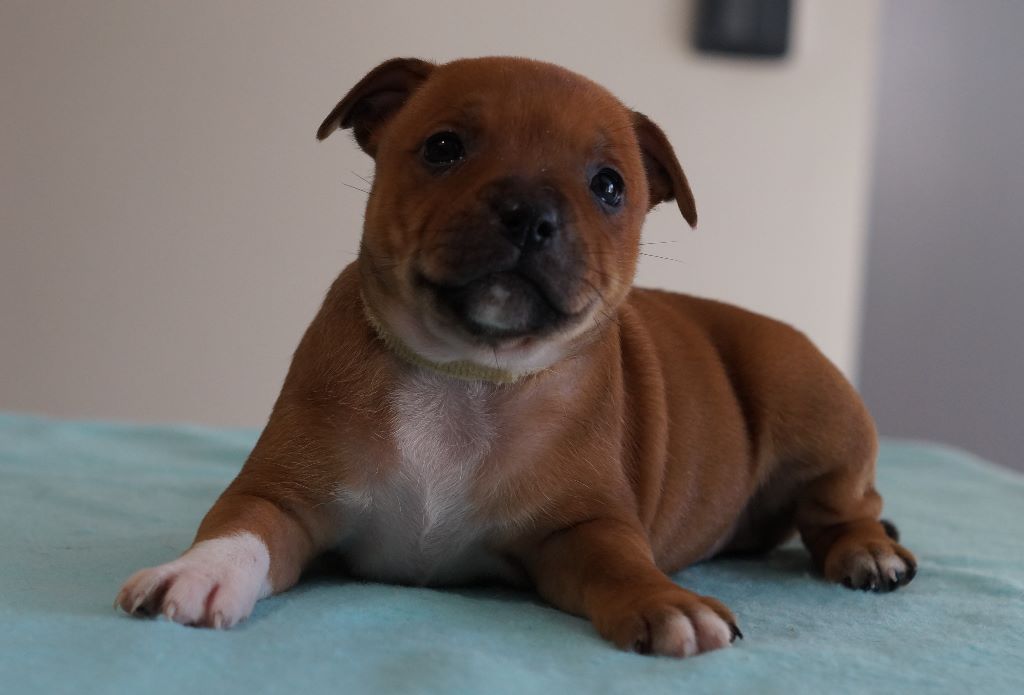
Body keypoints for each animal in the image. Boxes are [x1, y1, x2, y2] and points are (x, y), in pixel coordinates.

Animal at [116, 56, 916, 657]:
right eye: (443, 147)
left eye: (609, 185)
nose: (531, 212)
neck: (466, 374)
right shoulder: (284, 493)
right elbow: (238, 530)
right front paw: (196, 572)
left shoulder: (584, 527)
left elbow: (623, 563)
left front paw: (667, 601)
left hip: (811, 403)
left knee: (847, 504)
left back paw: (867, 551)